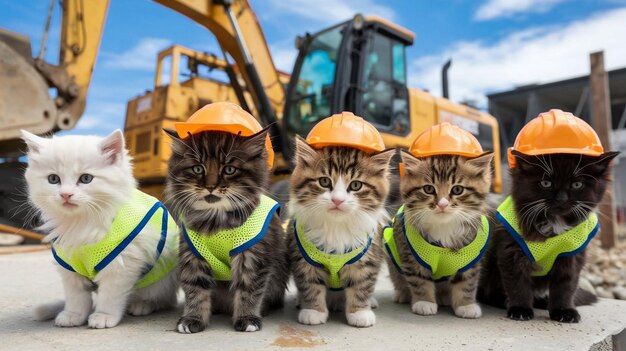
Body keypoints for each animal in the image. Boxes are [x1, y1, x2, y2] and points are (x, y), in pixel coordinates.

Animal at [22, 130, 178, 330]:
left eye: (86, 178)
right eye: (53, 179)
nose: (65, 194)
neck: (82, 223)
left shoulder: (122, 264)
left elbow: (110, 295)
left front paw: (104, 316)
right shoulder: (69, 267)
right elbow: (76, 297)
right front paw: (74, 315)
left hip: (160, 281)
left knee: (164, 300)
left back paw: (142, 305)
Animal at [162, 129, 286, 332]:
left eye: (229, 169)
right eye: (197, 169)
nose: (210, 186)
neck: (215, 219)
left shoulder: (253, 257)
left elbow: (249, 290)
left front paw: (247, 318)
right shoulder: (193, 255)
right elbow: (195, 290)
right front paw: (193, 318)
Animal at [286, 136, 392, 328]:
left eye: (356, 185)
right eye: (324, 182)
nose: (337, 200)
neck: (336, 226)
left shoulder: (367, 260)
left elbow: (362, 286)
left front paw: (360, 313)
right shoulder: (303, 259)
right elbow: (310, 285)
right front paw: (313, 311)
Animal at [386, 151, 492, 320]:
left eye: (457, 190)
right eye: (428, 189)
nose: (442, 204)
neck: (444, 226)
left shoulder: (470, 258)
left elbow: (467, 282)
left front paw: (466, 305)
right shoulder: (411, 255)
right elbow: (419, 280)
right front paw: (424, 302)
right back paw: (402, 294)